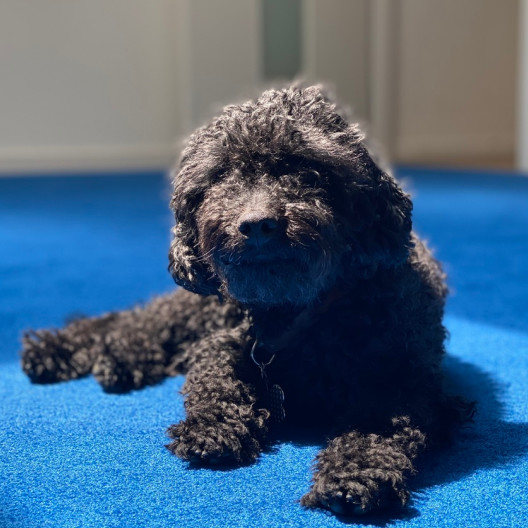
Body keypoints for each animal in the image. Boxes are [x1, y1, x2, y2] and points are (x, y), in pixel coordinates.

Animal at [22, 84, 472, 512]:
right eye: (223, 174)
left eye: (308, 169)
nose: (256, 224)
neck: (295, 313)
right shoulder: (222, 343)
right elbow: (216, 382)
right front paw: (214, 428)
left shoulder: (404, 380)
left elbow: (378, 429)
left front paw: (355, 474)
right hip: (205, 303)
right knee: (137, 318)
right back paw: (83, 352)